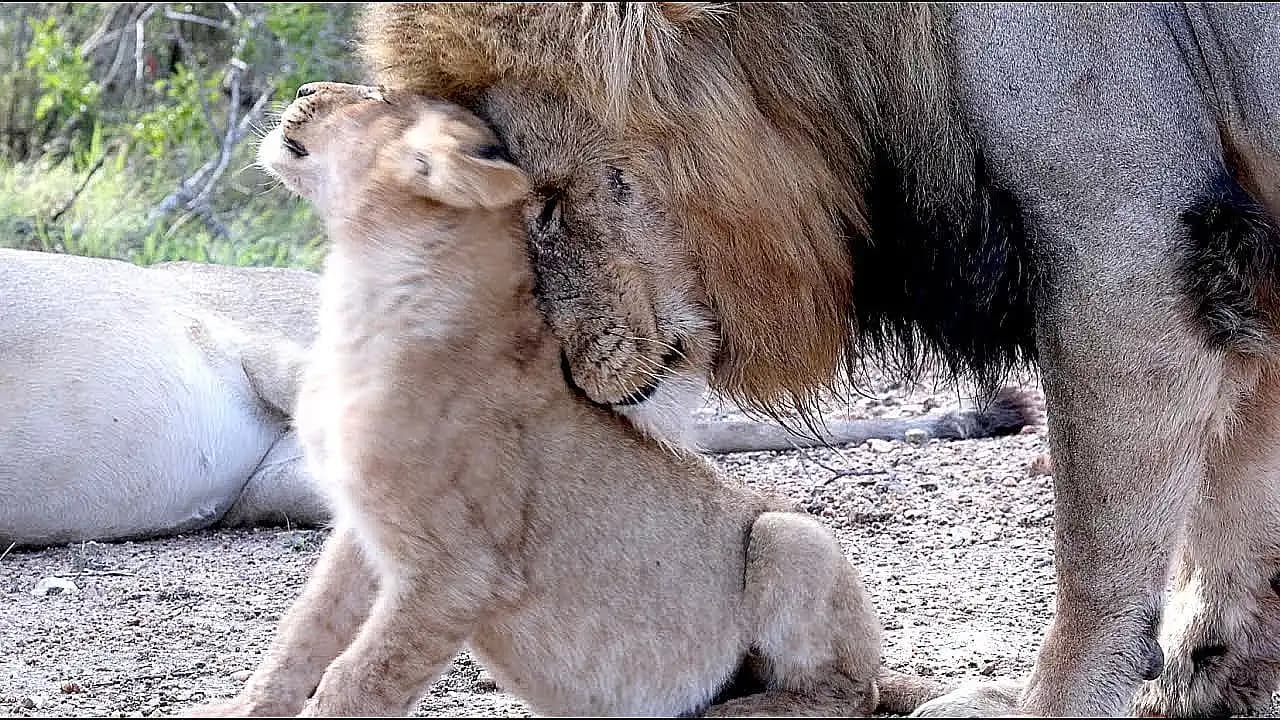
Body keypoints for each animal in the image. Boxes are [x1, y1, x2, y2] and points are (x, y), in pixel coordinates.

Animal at [358, 2, 1280, 712]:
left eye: (545, 207)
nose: (560, 371)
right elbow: (1237, 507)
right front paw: (1198, 680)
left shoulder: (1127, 246)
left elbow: (1097, 558)